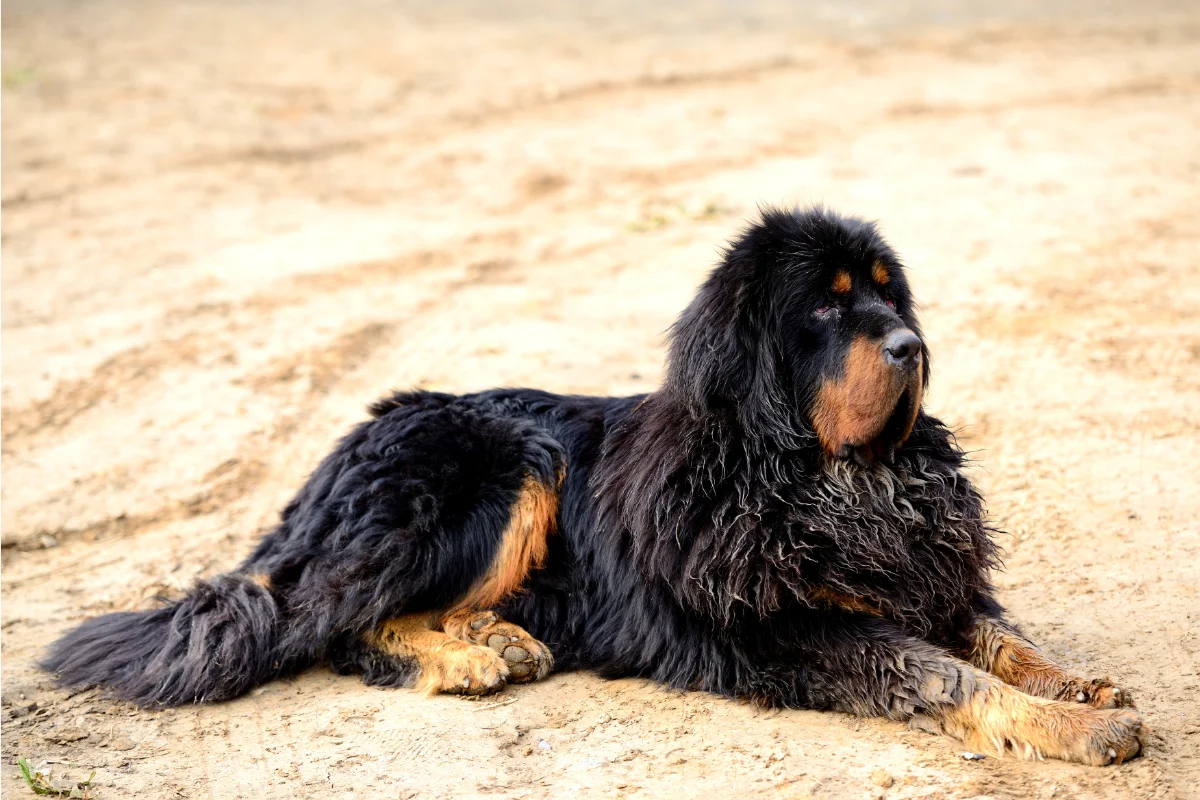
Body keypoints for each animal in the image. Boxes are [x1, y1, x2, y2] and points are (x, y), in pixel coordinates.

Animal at [39, 209, 1142, 767]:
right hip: (503, 459)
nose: (913, 345)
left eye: (888, 293)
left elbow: (998, 637)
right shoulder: (794, 629)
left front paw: (1077, 684)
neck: (828, 479)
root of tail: (335, 456)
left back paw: (500, 637)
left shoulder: (921, 576)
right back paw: (465, 658)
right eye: (830, 309)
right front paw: (1079, 728)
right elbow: (946, 673)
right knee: (335, 625)